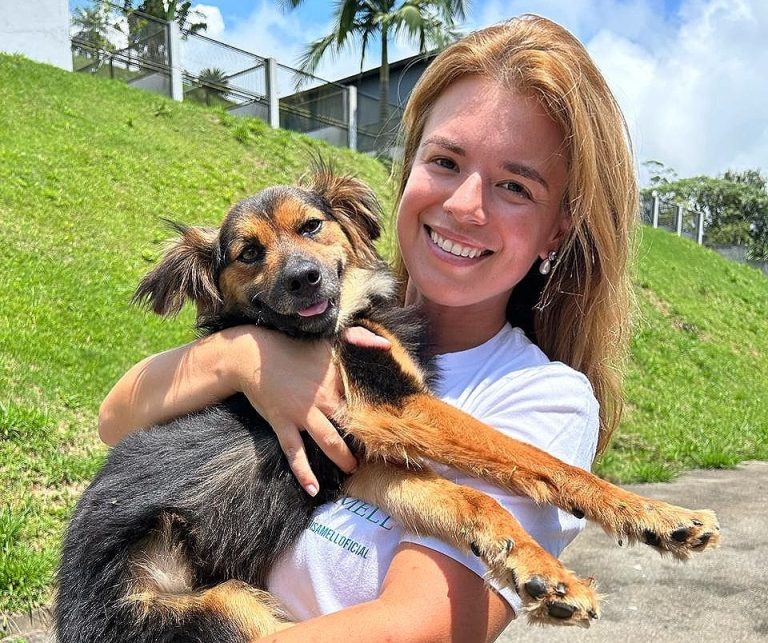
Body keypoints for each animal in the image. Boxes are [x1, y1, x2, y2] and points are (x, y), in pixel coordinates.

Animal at [55, 164, 720, 640]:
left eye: (311, 227)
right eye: (248, 253)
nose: (303, 278)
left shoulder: (360, 459)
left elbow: (472, 499)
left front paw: (538, 569)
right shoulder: (385, 407)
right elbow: (537, 460)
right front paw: (655, 514)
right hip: (218, 613)